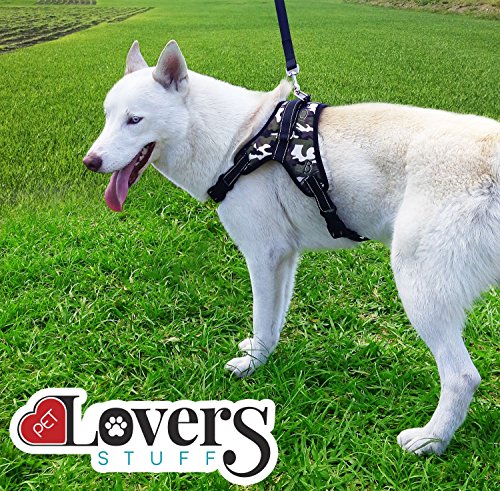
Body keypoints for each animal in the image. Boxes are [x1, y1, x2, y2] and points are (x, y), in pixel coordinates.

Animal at [83, 40, 499, 456]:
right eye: (108, 117)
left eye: (134, 120)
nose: (90, 161)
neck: (237, 140)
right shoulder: (284, 257)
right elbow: (274, 318)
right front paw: (260, 354)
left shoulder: (262, 256)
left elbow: (262, 315)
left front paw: (251, 366)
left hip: (419, 286)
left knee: (462, 376)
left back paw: (431, 440)